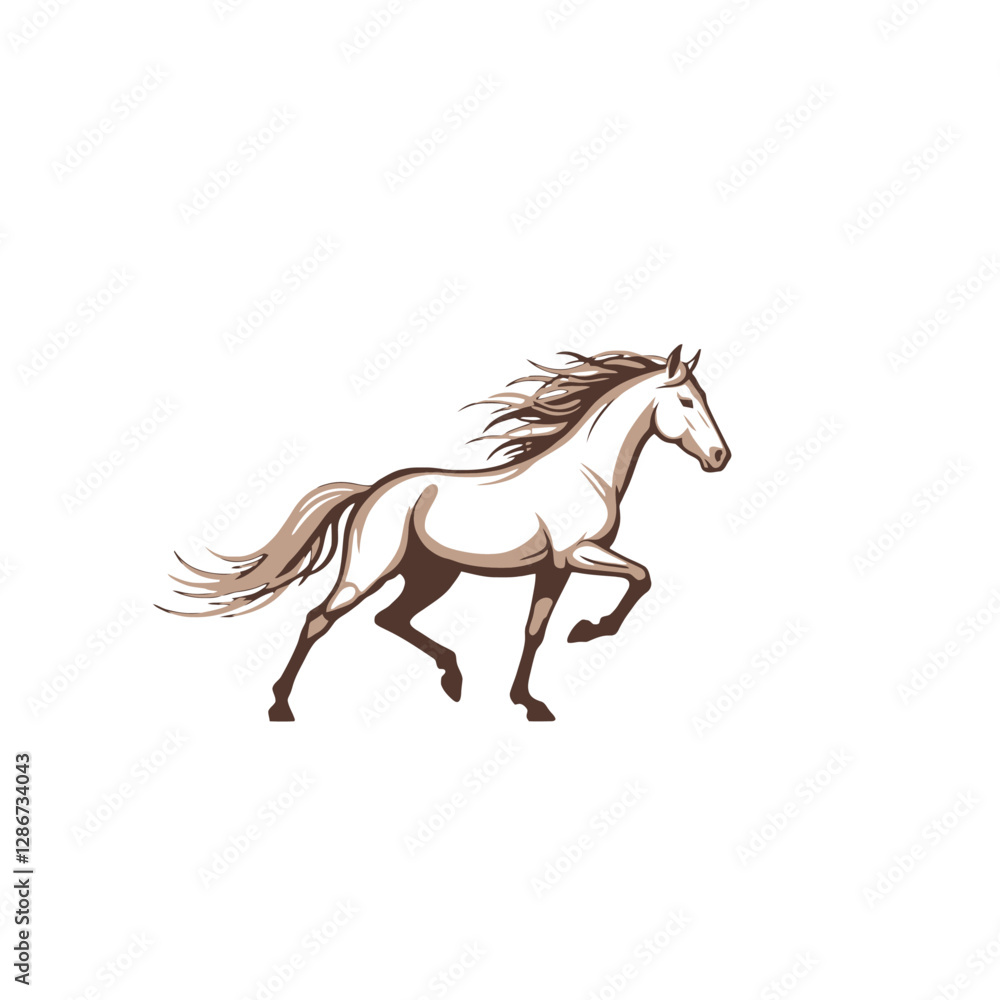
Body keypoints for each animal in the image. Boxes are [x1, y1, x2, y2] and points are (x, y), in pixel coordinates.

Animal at [160, 345, 730, 721]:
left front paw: (529, 700)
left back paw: (453, 678)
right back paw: (281, 706)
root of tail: (372, 491)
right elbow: (640, 577)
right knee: (319, 618)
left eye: (704, 398)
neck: (585, 471)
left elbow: (538, 628)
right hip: (373, 569)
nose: (721, 457)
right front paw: (587, 632)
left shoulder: (556, 566)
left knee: (390, 618)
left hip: (433, 575)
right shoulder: (575, 555)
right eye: (686, 402)